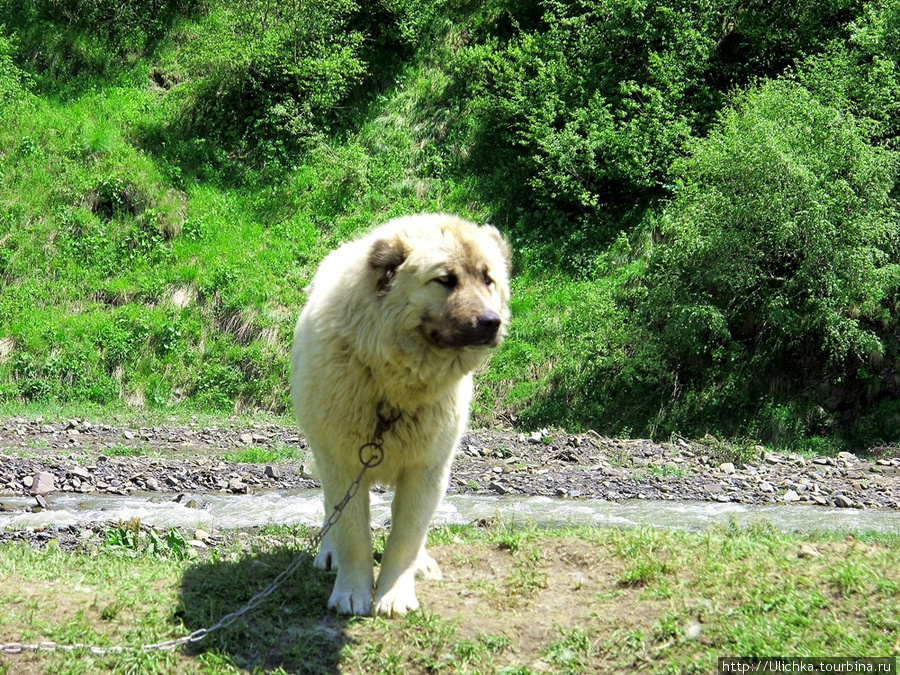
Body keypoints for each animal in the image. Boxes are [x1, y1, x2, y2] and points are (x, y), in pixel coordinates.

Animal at [290, 214, 510, 616]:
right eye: (445, 279)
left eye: (488, 279)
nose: (491, 321)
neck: (393, 387)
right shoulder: (343, 461)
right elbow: (352, 532)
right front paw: (352, 592)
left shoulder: (427, 468)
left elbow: (407, 534)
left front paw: (395, 593)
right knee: (330, 508)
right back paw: (329, 554)